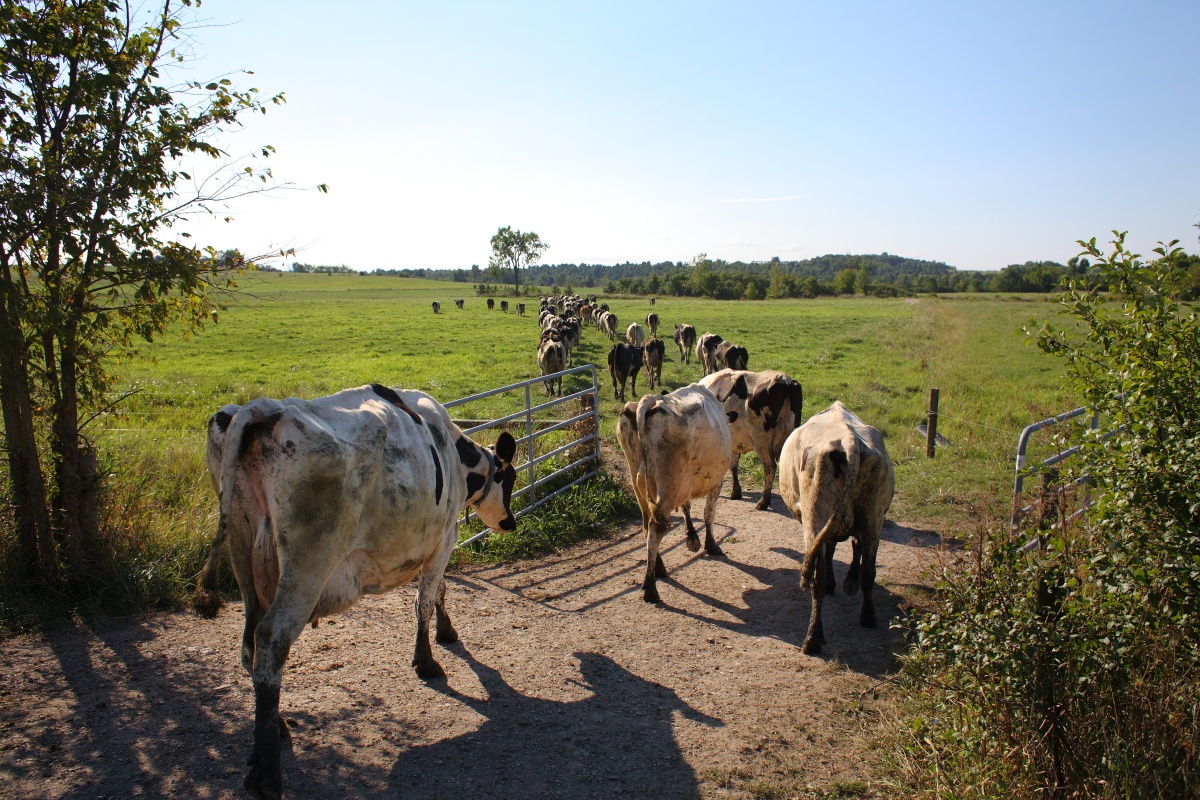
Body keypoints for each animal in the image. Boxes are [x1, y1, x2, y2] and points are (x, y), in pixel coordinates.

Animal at [194, 383, 518, 796]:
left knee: (250, 643)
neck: (453, 453)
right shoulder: (445, 537)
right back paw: (266, 773)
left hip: (243, 554)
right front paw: (426, 660)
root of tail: (264, 408)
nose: (511, 522)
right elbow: (425, 600)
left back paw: (274, 729)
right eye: (509, 480)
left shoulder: (434, 542)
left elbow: (439, 592)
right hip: (308, 565)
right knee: (270, 639)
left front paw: (446, 632)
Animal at [619, 383, 729, 604]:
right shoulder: (717, 480)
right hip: (668, 485)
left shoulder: (685, 484)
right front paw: (710, 544)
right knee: (656, 528)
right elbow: (708, 514)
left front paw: (692, 537)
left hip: (639, 481)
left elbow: (687, 506)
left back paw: (658, 568)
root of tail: (649, 401)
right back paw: (650, 588)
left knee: (647, 524)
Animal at [700, 371, 801, 510]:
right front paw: (736, 492)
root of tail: (784, 380)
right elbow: (733, 465)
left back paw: (763, 502)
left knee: (770, 467)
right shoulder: (733, 442)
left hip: (760, 440)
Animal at [777, 400, 892, 657]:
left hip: (815, 517)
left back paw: (812, 639)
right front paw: (847, 579)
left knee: (816, 578)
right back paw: (868, 616)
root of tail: (850, 441)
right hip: (872, 520)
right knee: (869, 571)